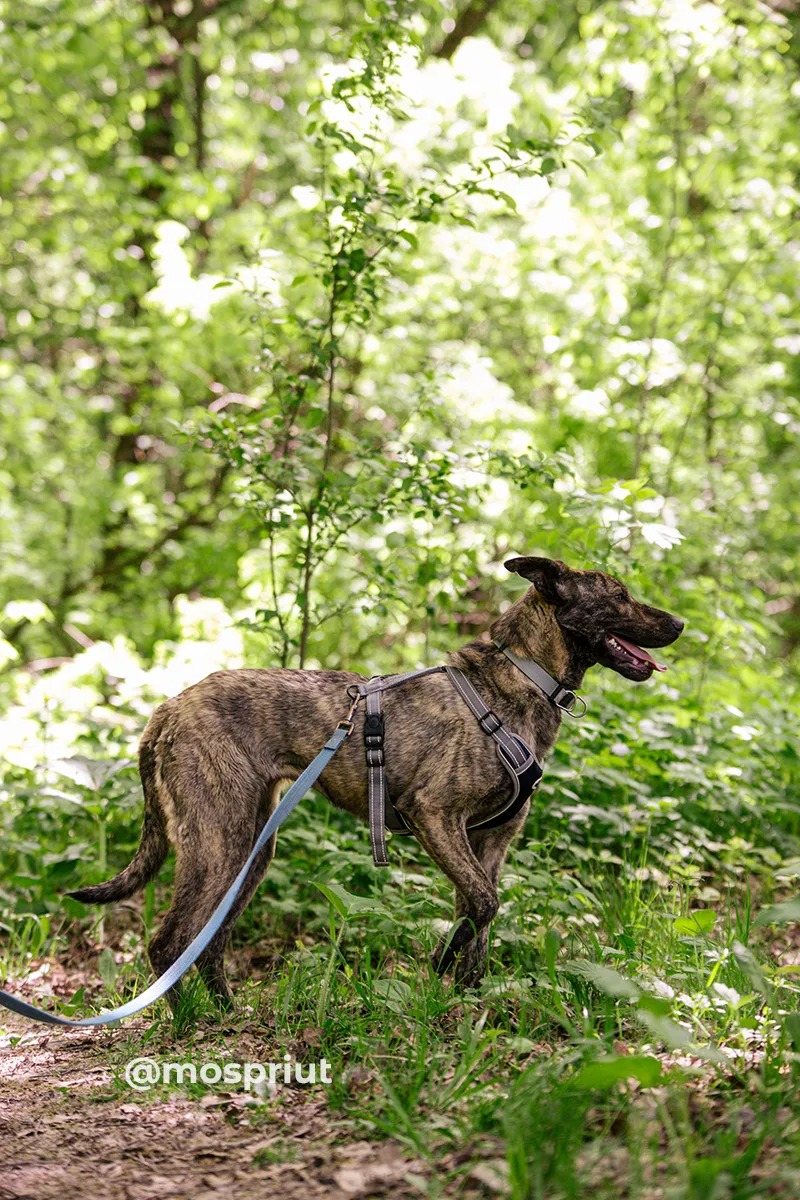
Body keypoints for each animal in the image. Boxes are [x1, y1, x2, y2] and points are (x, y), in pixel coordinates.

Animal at [70, 559, 681, 1003]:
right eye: (619, 595)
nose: (679, 624)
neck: (522, 675)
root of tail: (166, 710)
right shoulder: (435, 816)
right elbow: (483, 906)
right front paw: (439, 965)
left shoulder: (489, 843)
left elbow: (478, 919)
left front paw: (466, 1003)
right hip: (219, 843)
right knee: (169, 943)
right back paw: (187, 1026)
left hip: (250, 851)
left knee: (209, 942)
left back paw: (226, 1017)